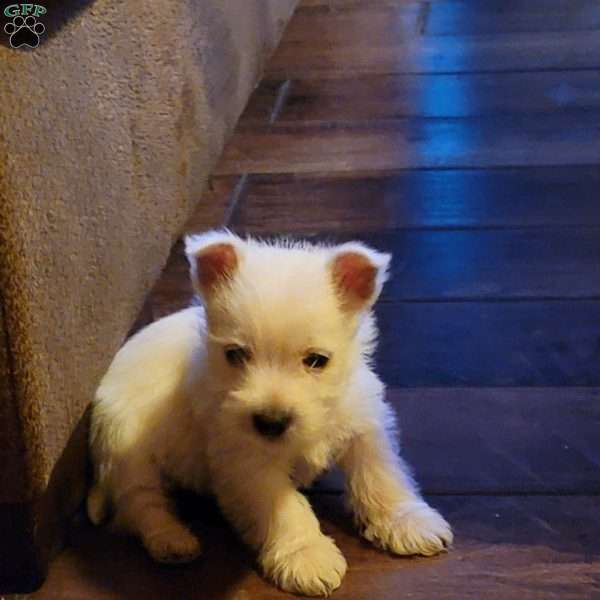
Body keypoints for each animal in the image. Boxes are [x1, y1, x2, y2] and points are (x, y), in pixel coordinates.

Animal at [88, 229, 454, 596]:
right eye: (235, 354)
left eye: (317, 360)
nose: (271, 422)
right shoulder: (248, 461)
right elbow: (284, 505)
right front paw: (306, 554)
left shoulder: (363, 424)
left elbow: (381, 475)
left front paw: (407, 520)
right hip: (127, 449)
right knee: (141, 504)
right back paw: (171, 540)